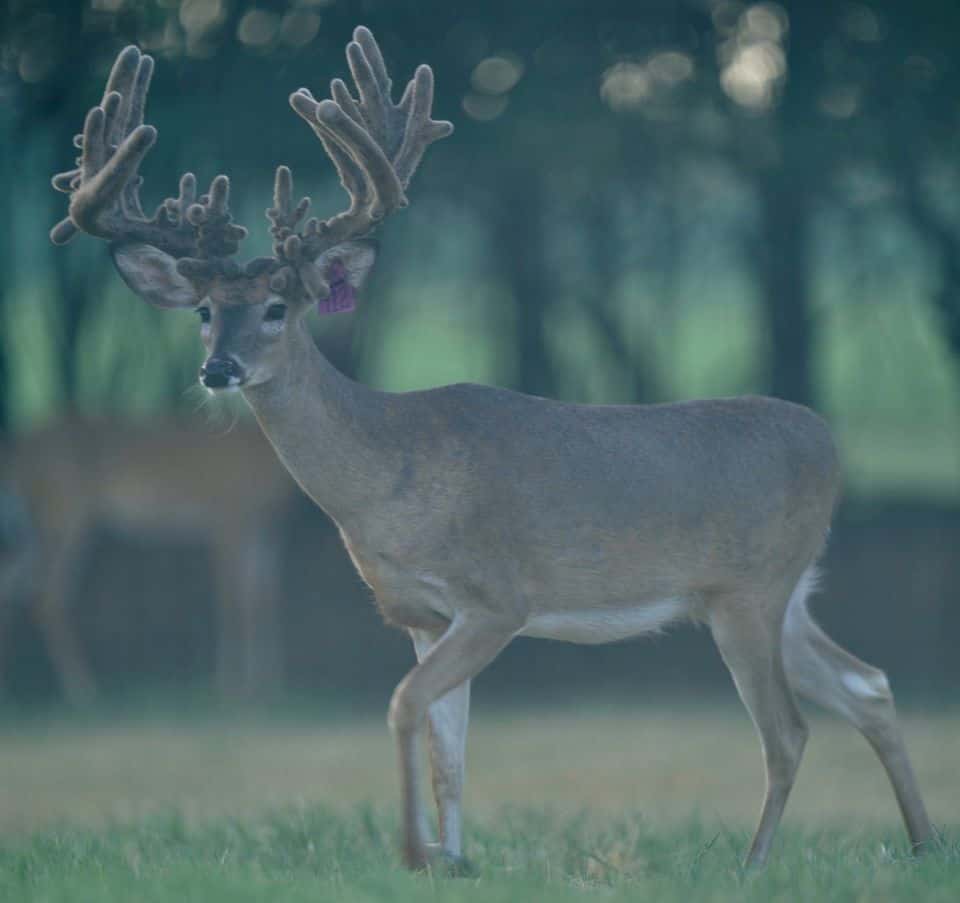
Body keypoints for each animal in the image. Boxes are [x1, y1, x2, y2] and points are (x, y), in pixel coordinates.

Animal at [0, 416, 294, 704]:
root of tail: (16, 457)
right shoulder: (228, 516)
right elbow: (233, 599)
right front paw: (231, 685)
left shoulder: (263, 527)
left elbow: (263, 596)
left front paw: (269, 684)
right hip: (63, 512)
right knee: (46, 596)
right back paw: (83, 690)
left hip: (39, 523)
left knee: (17, 584)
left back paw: (14, 689)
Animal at [49, 28, 933, 872]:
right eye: (203, 310)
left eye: (275, 307)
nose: (218, 368)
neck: (387, 475)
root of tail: (827, 440)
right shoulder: (420, 613)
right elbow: (452, 752)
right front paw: (456, 857)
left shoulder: (496, 597)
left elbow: (404, 705)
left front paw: (416, 854)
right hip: (786, 590)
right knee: (868, 684)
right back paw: (923, 843)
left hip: (747, 591)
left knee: (788, 731)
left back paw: (753, 864)